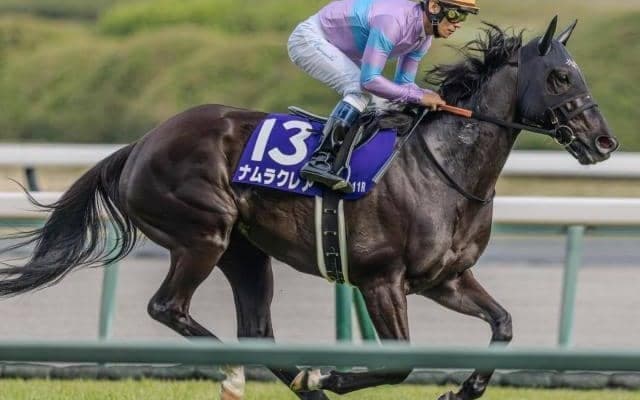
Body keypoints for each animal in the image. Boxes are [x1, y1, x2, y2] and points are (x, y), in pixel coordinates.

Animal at [0, 18, 619, 400]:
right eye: (561, 76)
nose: (604, 142)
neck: (443, 166)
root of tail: (142, 143)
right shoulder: (380, 281)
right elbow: (398, 363)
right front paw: (333, 376)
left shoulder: (445, 279)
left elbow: (504, 324)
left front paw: (462, 388)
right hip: (205, 233)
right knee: (168, 307)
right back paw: (252, 374)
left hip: (247, 253)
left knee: (258, 330)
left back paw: (296, 378)